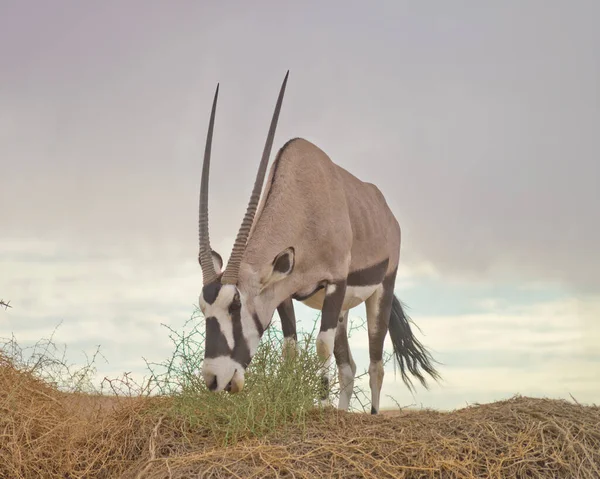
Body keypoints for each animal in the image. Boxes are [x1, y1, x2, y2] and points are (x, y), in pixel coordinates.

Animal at [199, 73, 438, 414]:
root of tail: (389, 215)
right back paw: (342, 412)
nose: (214, 379)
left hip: (380, 290)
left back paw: (371, 414)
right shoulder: (283, 291)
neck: (303, 198)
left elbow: (322, 346)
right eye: (203, 307)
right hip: (342, 310)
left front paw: (321, 404)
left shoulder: (335, 281)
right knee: (349, 366)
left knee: (375, 364)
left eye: (235, 304)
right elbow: (291, 349)